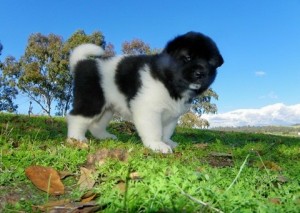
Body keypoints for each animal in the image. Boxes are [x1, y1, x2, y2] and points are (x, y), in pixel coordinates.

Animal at [67, 31, 223, 153]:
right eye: (188, 58)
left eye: (209, 62)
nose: (200, 73)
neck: (169, 82)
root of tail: (82, 63)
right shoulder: (148, 110)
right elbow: (154, 130)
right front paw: (157, 145)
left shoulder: (172, 115)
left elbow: (167, 131)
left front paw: (167, 142)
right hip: (93, 101)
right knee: (76, 117)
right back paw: (76, 138)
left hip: (107, 108)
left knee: (96, 124)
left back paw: (104, 136)